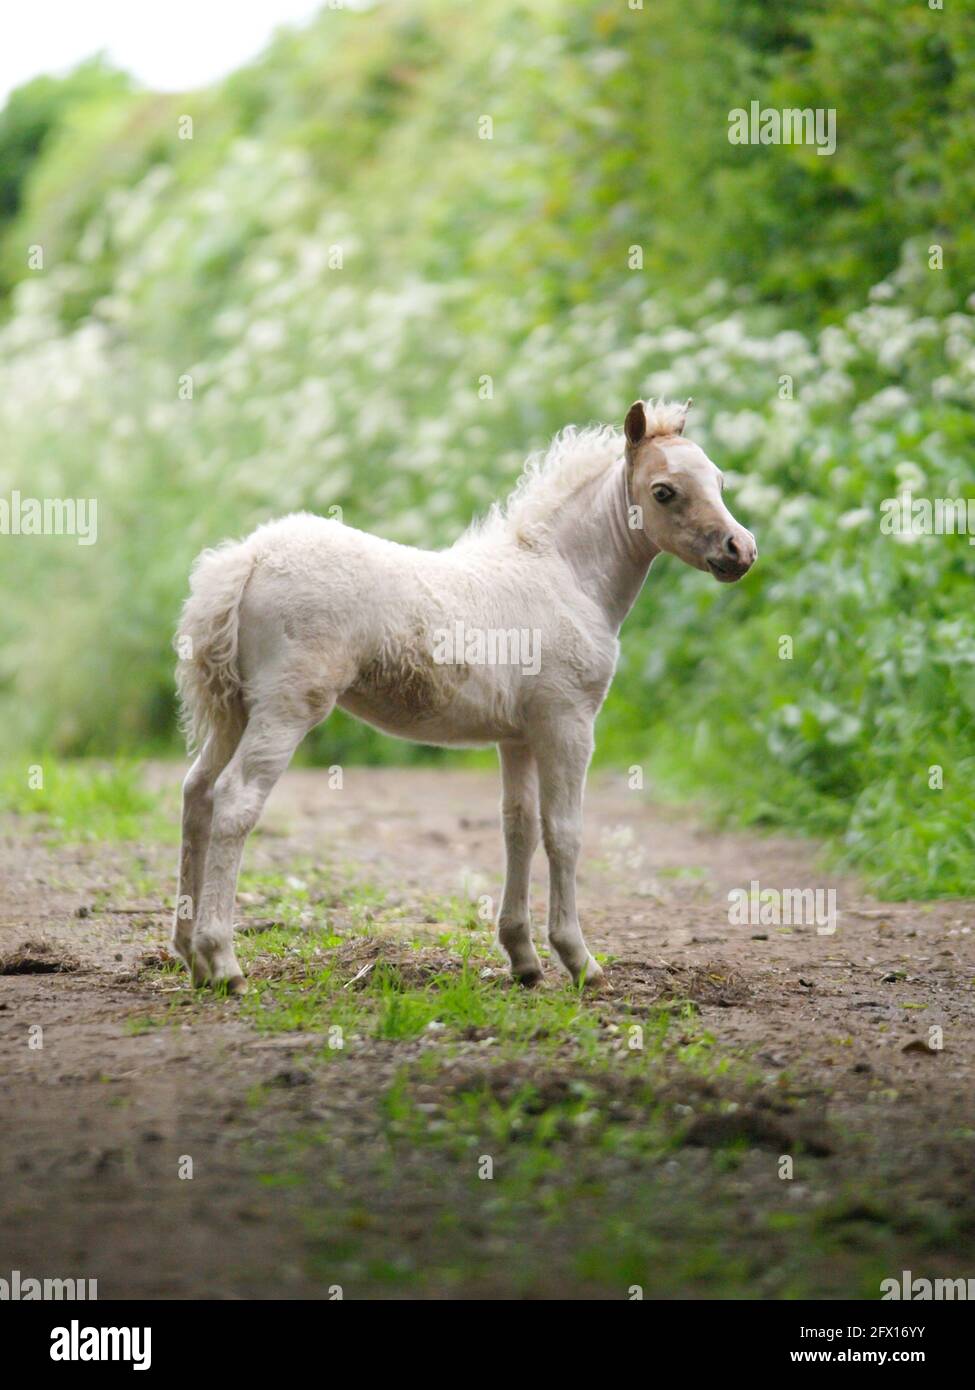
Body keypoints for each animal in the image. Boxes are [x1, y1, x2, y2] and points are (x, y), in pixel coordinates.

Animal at [172, 398, 756, 994]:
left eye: (719, 481)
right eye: (664, 491)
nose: (741, 549)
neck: (566, 577)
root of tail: (247, 559)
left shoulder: (518, 736)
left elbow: (519, 827)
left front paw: (524, 958)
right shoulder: (567, 722)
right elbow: (564, 832)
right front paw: (580, 961)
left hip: (235, 709)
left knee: (197, 793)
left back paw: (191, 956)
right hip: (287, 707)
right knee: (235, 799)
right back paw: (223, 962)